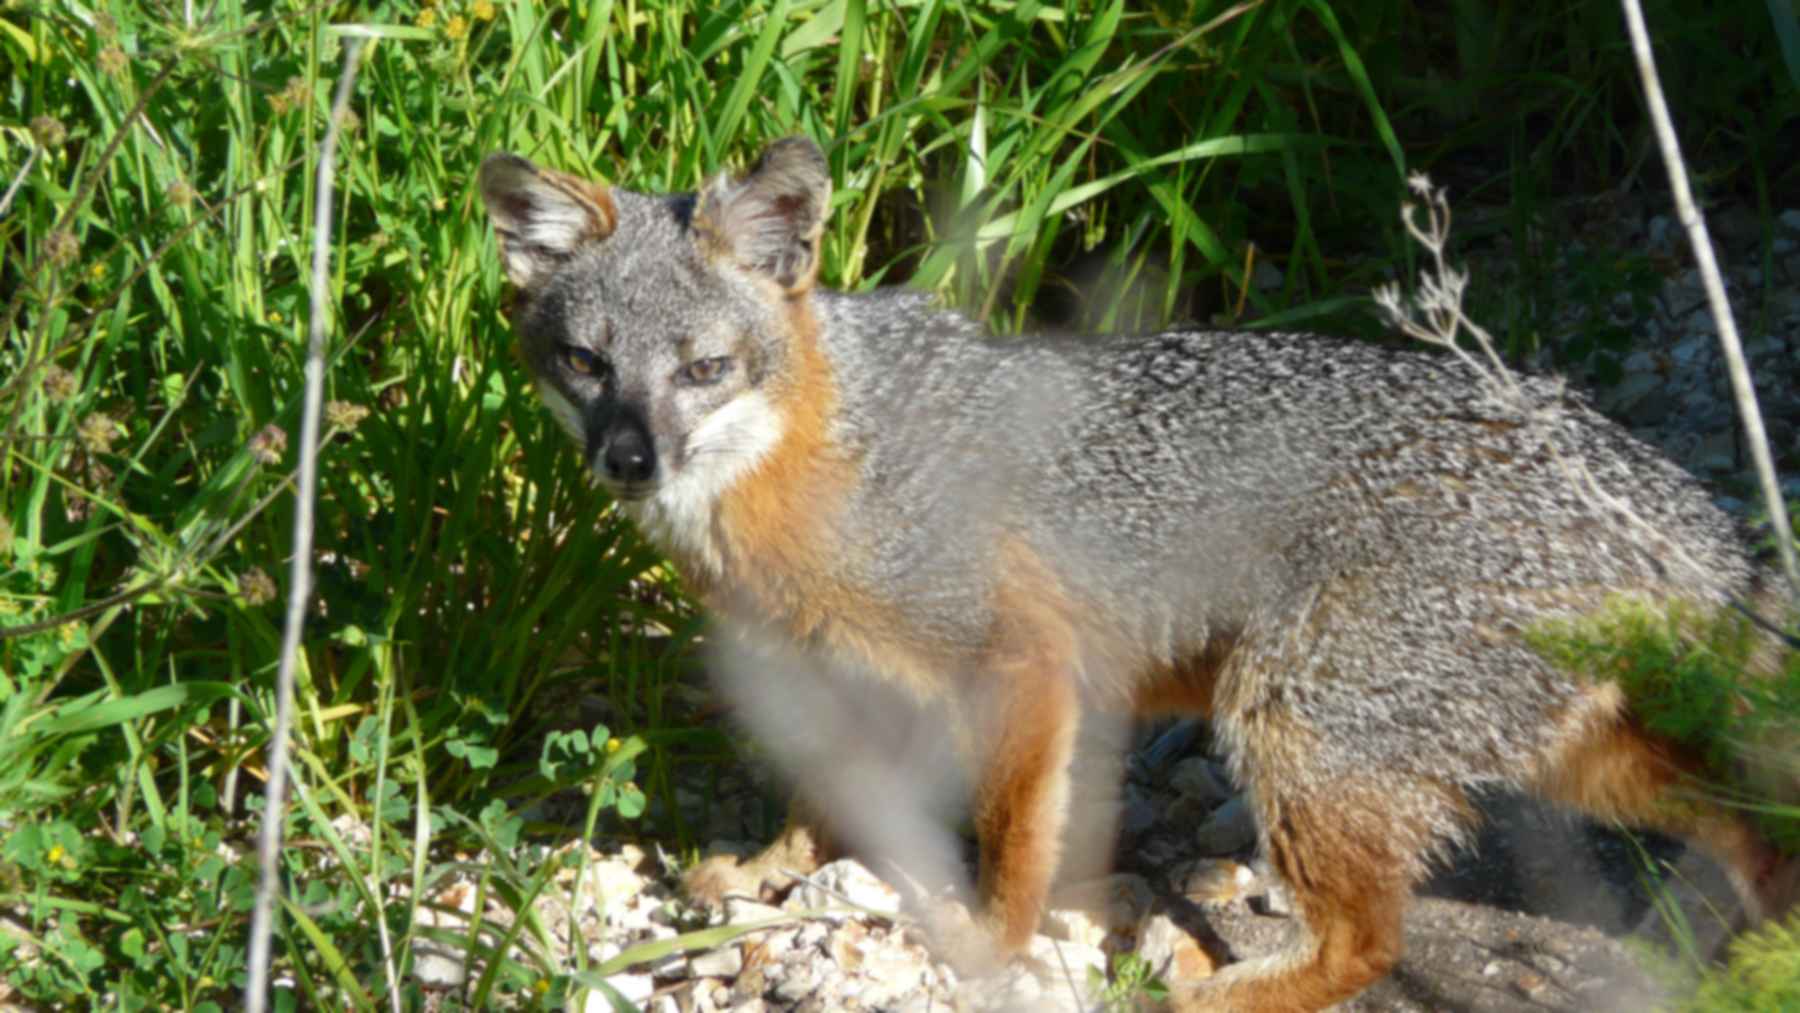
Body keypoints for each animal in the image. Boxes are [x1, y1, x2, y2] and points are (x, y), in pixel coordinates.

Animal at [477, 135, 1798, 1010]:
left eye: (703, 369)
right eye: (587, 362)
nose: (629, 458)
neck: (823, 451)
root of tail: (1629, 468)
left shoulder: (1021, 661)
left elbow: (1013, 837)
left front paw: (988, 944)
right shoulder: (843, 669)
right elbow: (822, 795)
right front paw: (768, 871)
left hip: (1292, 718)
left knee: (1369, 943)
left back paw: (1219, 993)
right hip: (1567, 751)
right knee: (1753, 830)